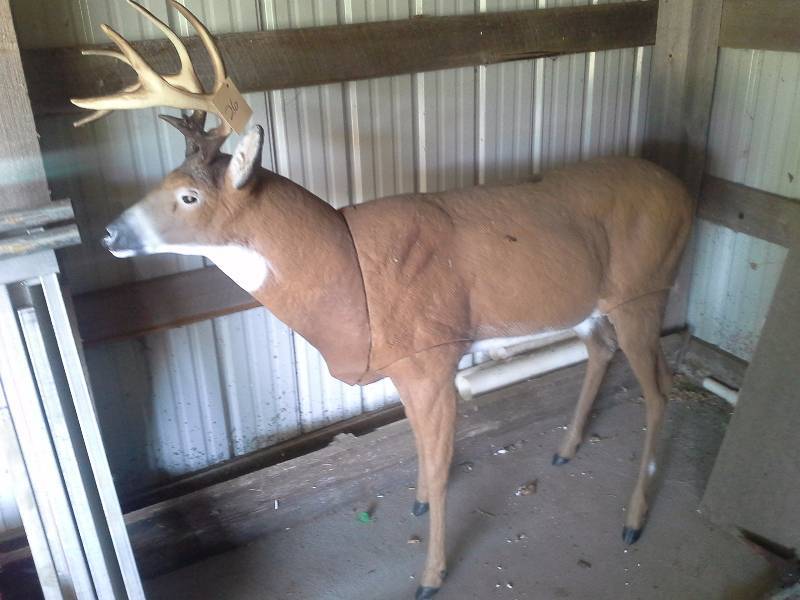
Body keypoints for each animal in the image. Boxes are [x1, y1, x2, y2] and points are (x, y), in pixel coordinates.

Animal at [71, 2, 694, 598]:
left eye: (188, 195)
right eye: (163, 179)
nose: (108, 234)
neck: (352, 278)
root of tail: (683, 191)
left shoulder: (433, 357)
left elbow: (441, 464)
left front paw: (431, 576)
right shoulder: (406, 365)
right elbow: (420, 448)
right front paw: (416, 503)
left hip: (645, 289)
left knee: (660, 388)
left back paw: (633, 520)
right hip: (594, 303)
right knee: (602, 351)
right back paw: (566, 449)